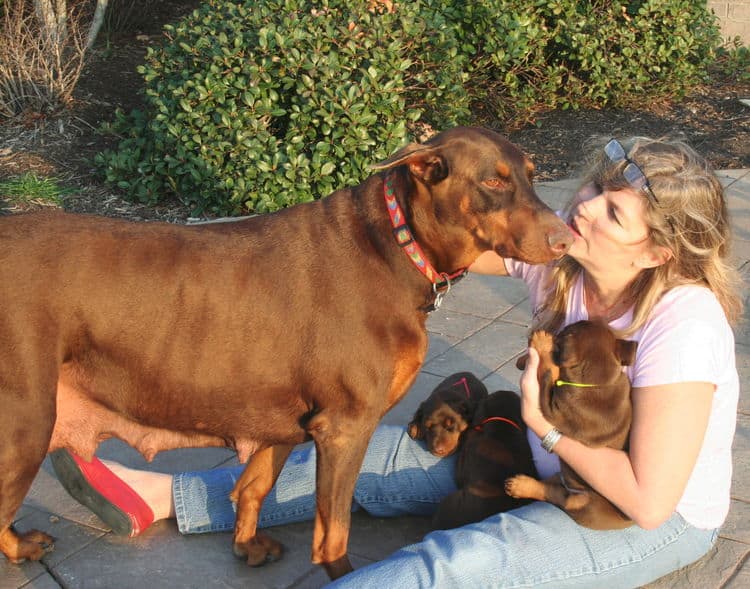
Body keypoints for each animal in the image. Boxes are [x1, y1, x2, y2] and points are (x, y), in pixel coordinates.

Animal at [508, 320, 636, 532]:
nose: (554, 333)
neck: (599, 383)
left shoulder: (552, 406)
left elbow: (548, 369)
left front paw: (542, 343)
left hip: (579, 502)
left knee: (553, 494)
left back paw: (521, 485)